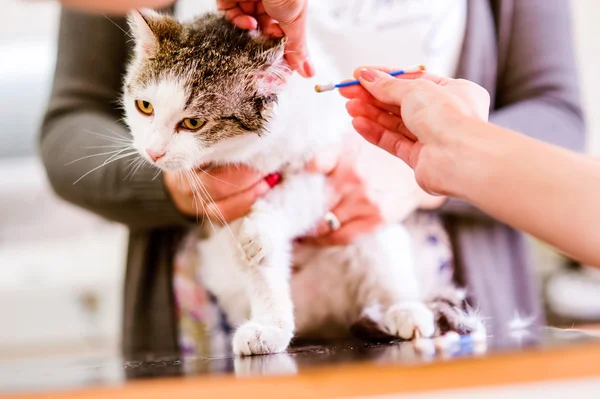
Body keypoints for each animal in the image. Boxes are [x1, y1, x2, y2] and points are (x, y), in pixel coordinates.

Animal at [122, 9, 482, 356]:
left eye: (193, 123)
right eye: (144, 106)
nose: (153, 152)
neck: (259, 152)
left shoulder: (328, 165)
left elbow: (293, 197)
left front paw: (261, 229)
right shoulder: (230, 205)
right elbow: (262, 272)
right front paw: (270, 326)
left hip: (376, 240)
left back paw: (405, 310)